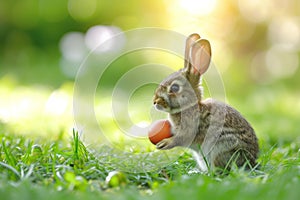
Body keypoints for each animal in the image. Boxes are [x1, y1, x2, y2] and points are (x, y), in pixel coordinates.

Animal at [154, 33, 258, 172]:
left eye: (175, 88)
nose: (155, 101)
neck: (189, 106)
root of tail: (251, 162)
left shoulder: (190, 128)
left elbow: (180, 138)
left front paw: (165, 143)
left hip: (219, 149)